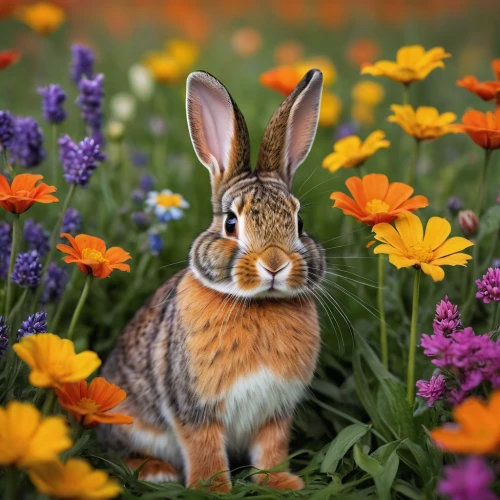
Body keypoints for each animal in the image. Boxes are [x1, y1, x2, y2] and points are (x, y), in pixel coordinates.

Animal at [97, 69, 328, 492]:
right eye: (231, 223)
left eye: (299, 223)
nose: (274, 263)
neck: (258, 303)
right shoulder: (194, 408)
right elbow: (204, 449)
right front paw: (213, 489)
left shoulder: (275, 411)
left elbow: (271, 449)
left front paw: (281, 483)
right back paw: (155, 472)